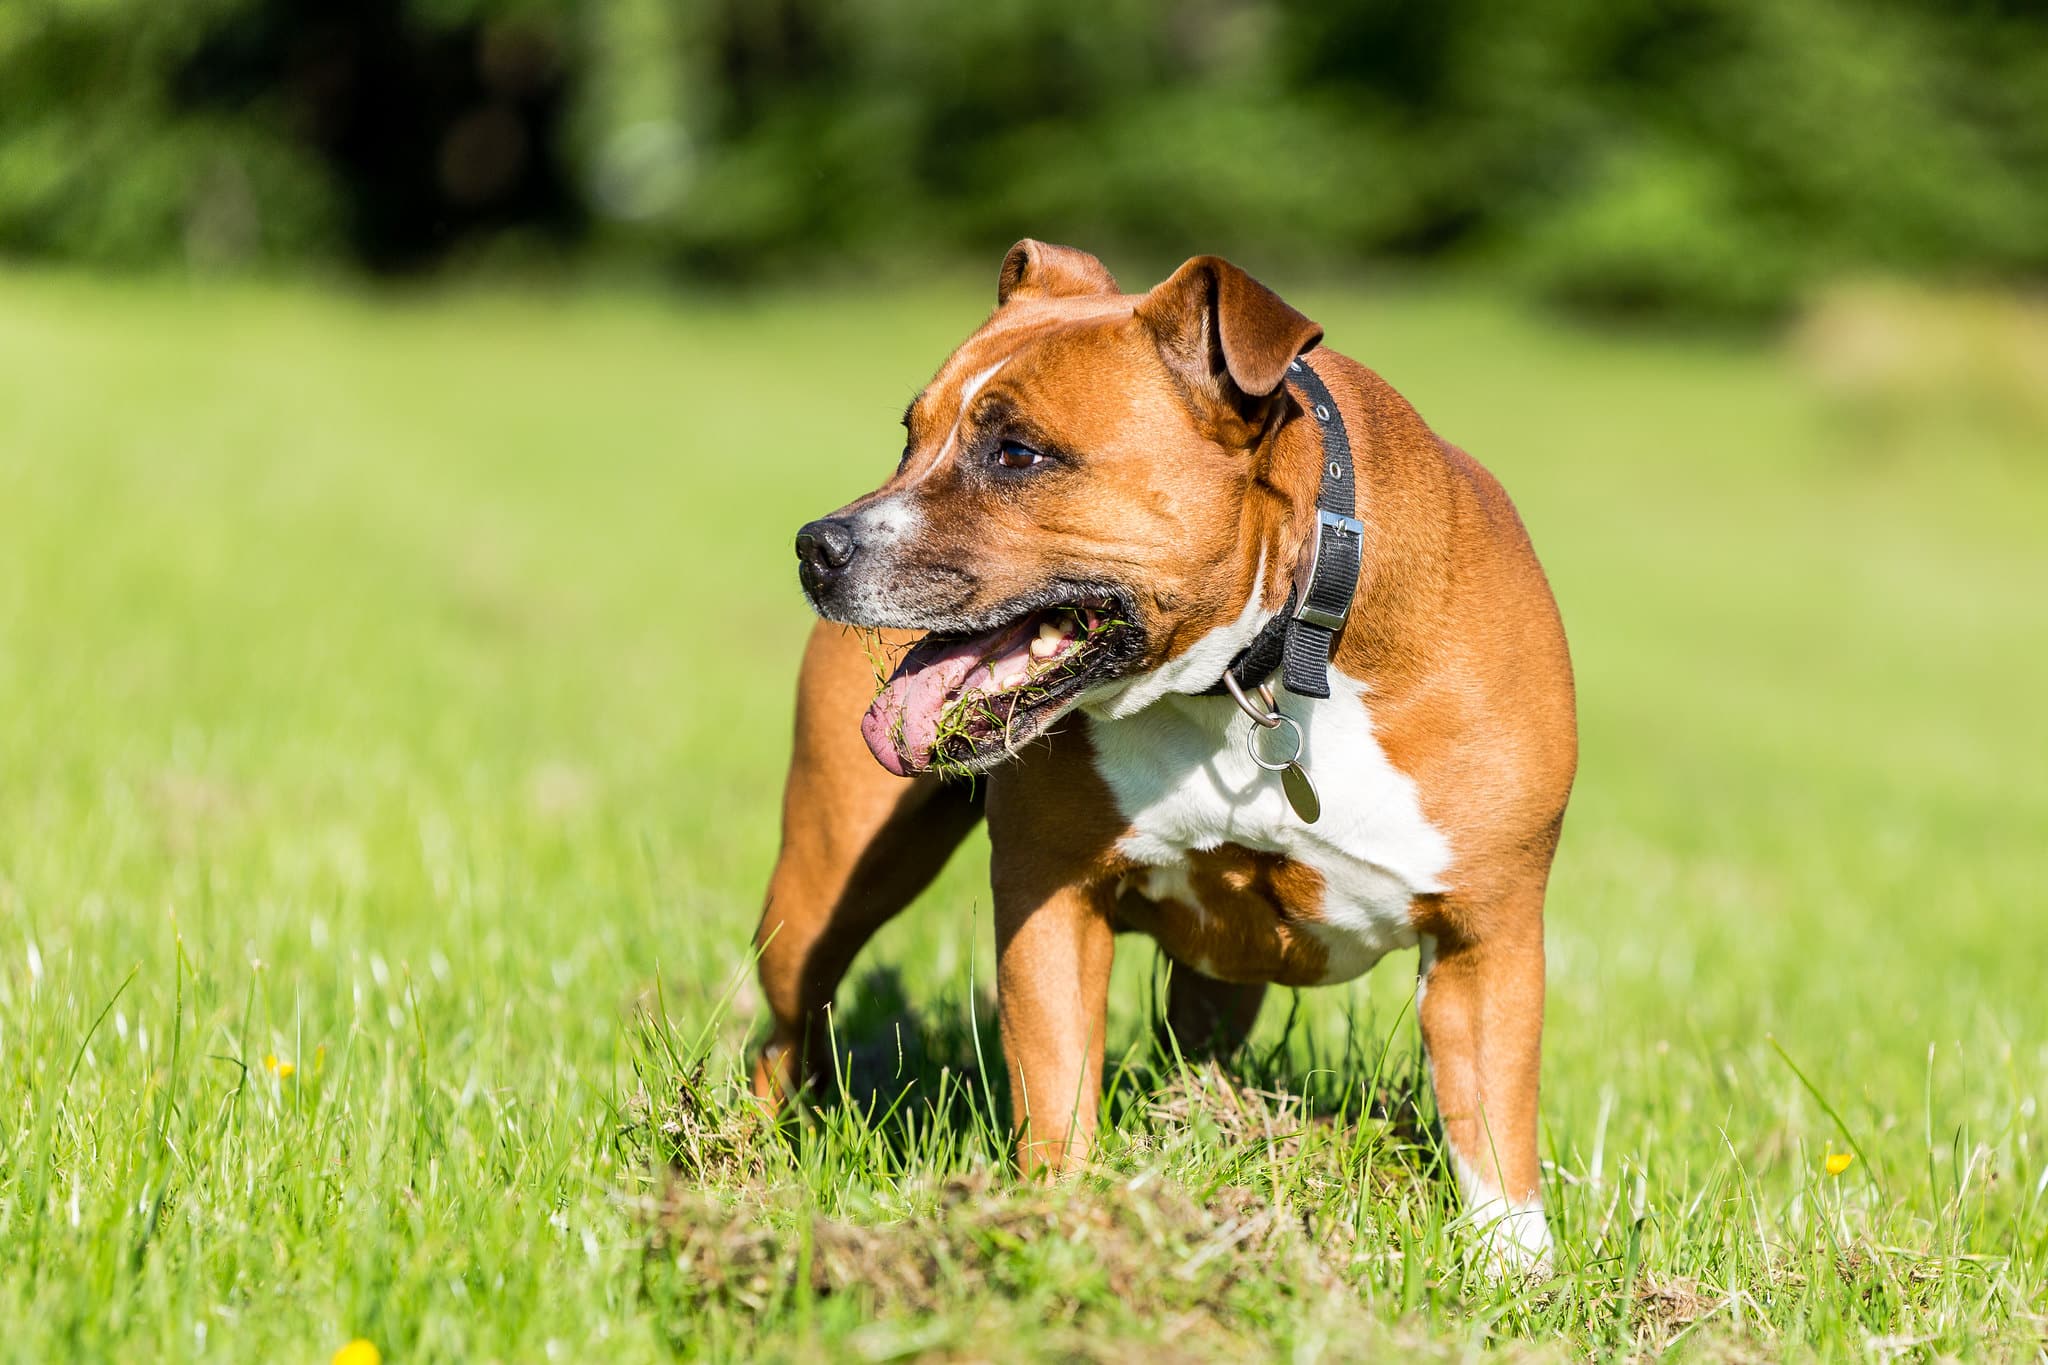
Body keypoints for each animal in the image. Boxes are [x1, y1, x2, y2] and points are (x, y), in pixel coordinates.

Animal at [749, 237, 1564, 1268]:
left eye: (1018, 453)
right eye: (909, 437)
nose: (818, 545)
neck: (1262, 663)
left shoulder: (1486, 940)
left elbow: (1495, 1132)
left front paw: (1518, 1275)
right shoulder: (1050, 894)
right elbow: (1056, 1092)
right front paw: (1061, 1225)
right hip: (822, 881)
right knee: (786, 1025)